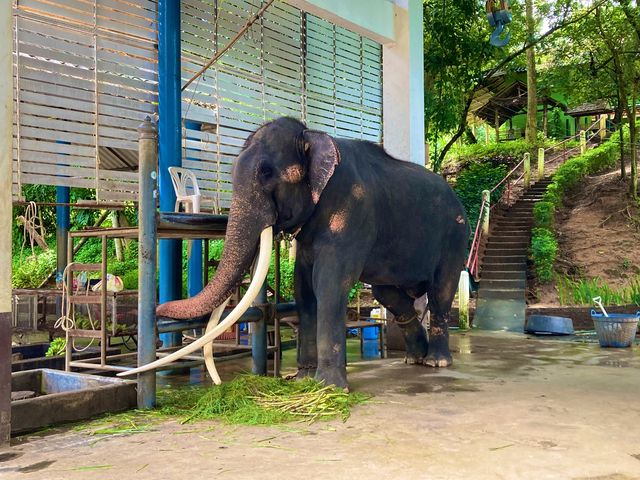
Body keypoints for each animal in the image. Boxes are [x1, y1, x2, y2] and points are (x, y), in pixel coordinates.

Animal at [121, 117, 470, 390]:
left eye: (266, 173)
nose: (156, 308)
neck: (311, 135)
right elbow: (304, 290)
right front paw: (303, 380)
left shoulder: (352, 211)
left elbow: (329, 284)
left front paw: (329, 387)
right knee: (389, 294)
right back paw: (415, 358)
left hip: (455, 238)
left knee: (440, 292)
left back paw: (436, 363)